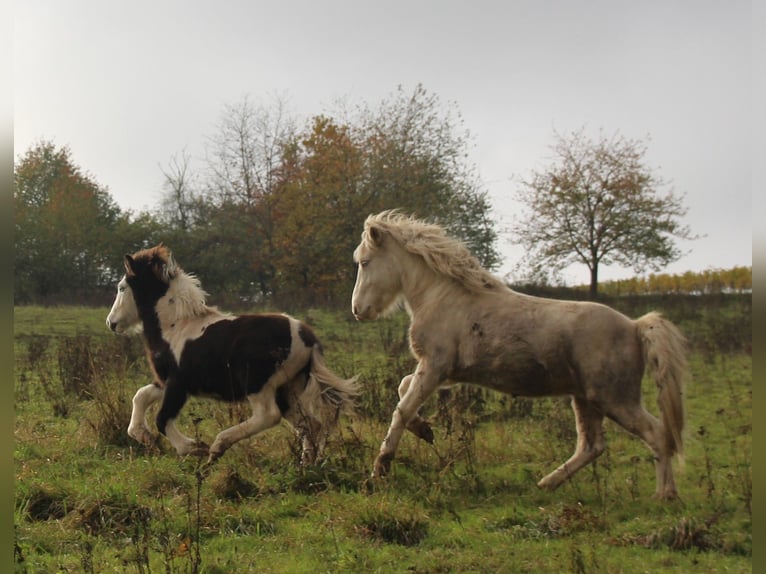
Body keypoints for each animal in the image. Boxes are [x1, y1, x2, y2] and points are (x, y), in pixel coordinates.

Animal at [106, 245, 358, 466]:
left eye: (122, 287)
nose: (111, 323)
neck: (174, 326)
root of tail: (306, 337)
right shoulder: (166, 381)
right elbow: (140, 396)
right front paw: (144, 436)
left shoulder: (178, 384)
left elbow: (162, 418)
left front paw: (193, 447)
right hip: (288, 389)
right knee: (309, 424)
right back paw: (306, 465)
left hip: (258, 385)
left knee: (269, 416)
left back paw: (218, 447)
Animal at [354, 212, 688, 500]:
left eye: (365, 262)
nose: (358, 310)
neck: (442, 298)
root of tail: (635, 326)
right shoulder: (445, 373)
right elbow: (403, 388)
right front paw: (424, 430)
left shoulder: (435, 367)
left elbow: (401, 408)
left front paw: (380, 469)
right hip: (585, 398)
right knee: (591, 446)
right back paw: (546, 484)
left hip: (615, 399)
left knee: (657, 434)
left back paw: (665, 495)